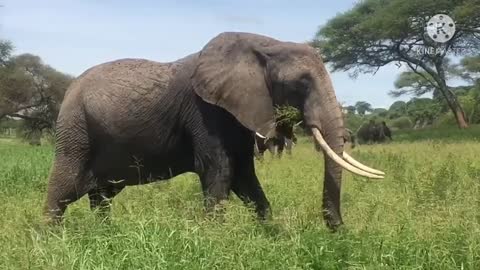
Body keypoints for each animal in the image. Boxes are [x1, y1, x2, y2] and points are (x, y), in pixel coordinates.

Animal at [43, 31, 384, 230]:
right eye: (300, 83)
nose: (339, 231)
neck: (264, 46)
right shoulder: (204, 113)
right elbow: (219, 171)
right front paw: (214, 240)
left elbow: (245, 177)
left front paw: (270, 235)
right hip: (75, 130)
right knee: (63, 189)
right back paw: (53, 241)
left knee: (101, 196)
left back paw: (106, 234)